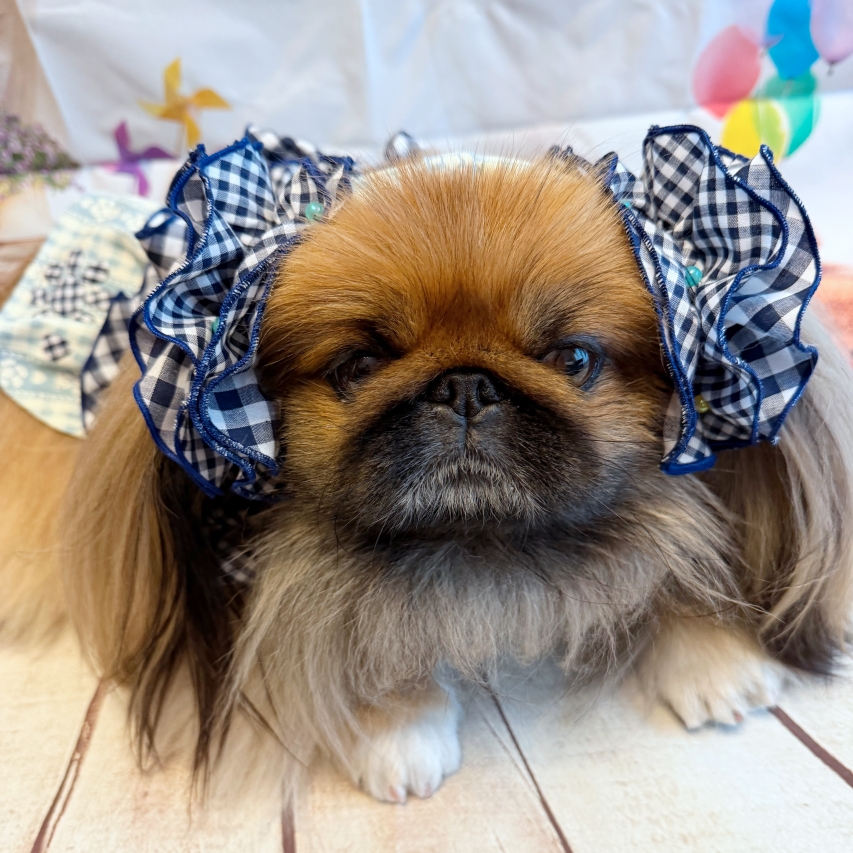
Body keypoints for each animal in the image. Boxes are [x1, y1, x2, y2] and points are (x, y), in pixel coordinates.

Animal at [2, 137, 852, 805]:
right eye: (358, 365)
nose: (466, 385)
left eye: (573, 358)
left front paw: (710, 652)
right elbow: (360, 621)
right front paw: (396, 726)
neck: (477, 547)